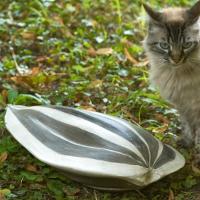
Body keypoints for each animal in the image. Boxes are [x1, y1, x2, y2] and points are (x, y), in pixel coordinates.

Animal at [144, 1, 200, 166]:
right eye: (164, 45)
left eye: (187, 45)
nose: (176, 59)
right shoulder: (184, 105)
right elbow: (188, 127)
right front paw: (187, 144)